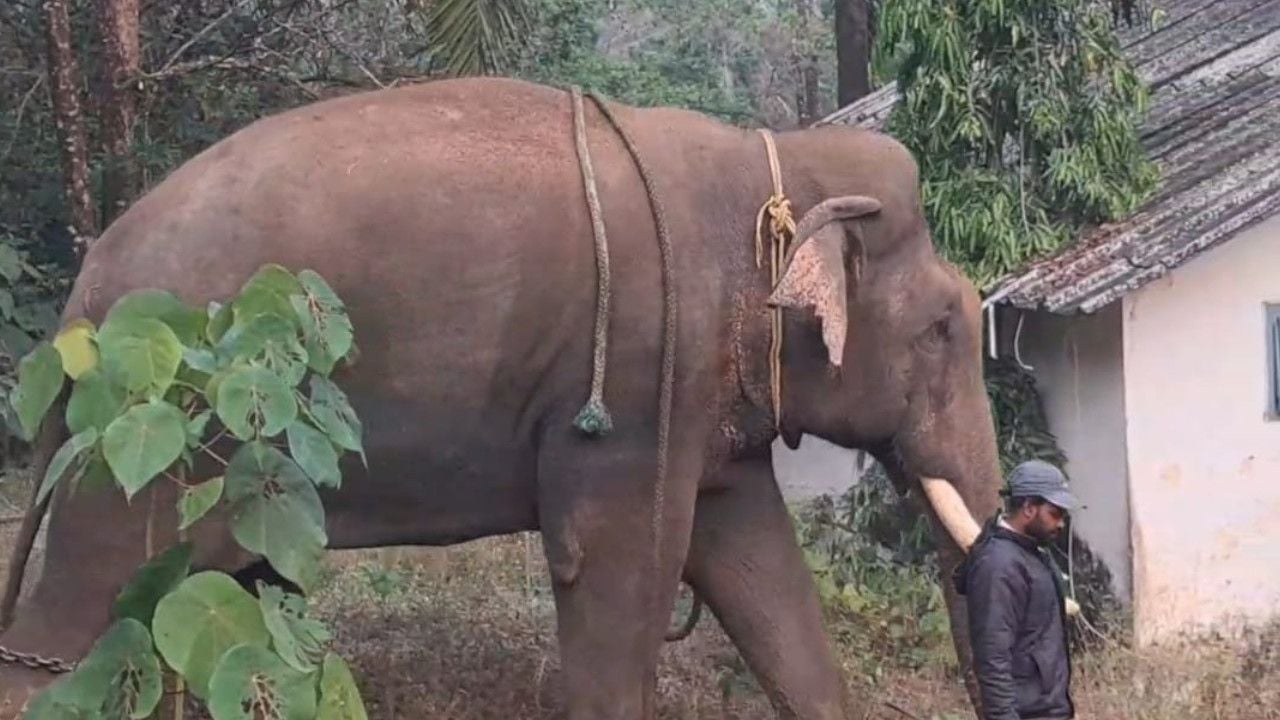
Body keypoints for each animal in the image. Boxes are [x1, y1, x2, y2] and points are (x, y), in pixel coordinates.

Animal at [0, 76, 1000, 719]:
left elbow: (754, 565)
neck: (771, 164)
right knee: (81, 616)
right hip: (149, 434)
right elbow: (618, 569)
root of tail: (87, 288)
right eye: (944, 328)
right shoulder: (634, 384)